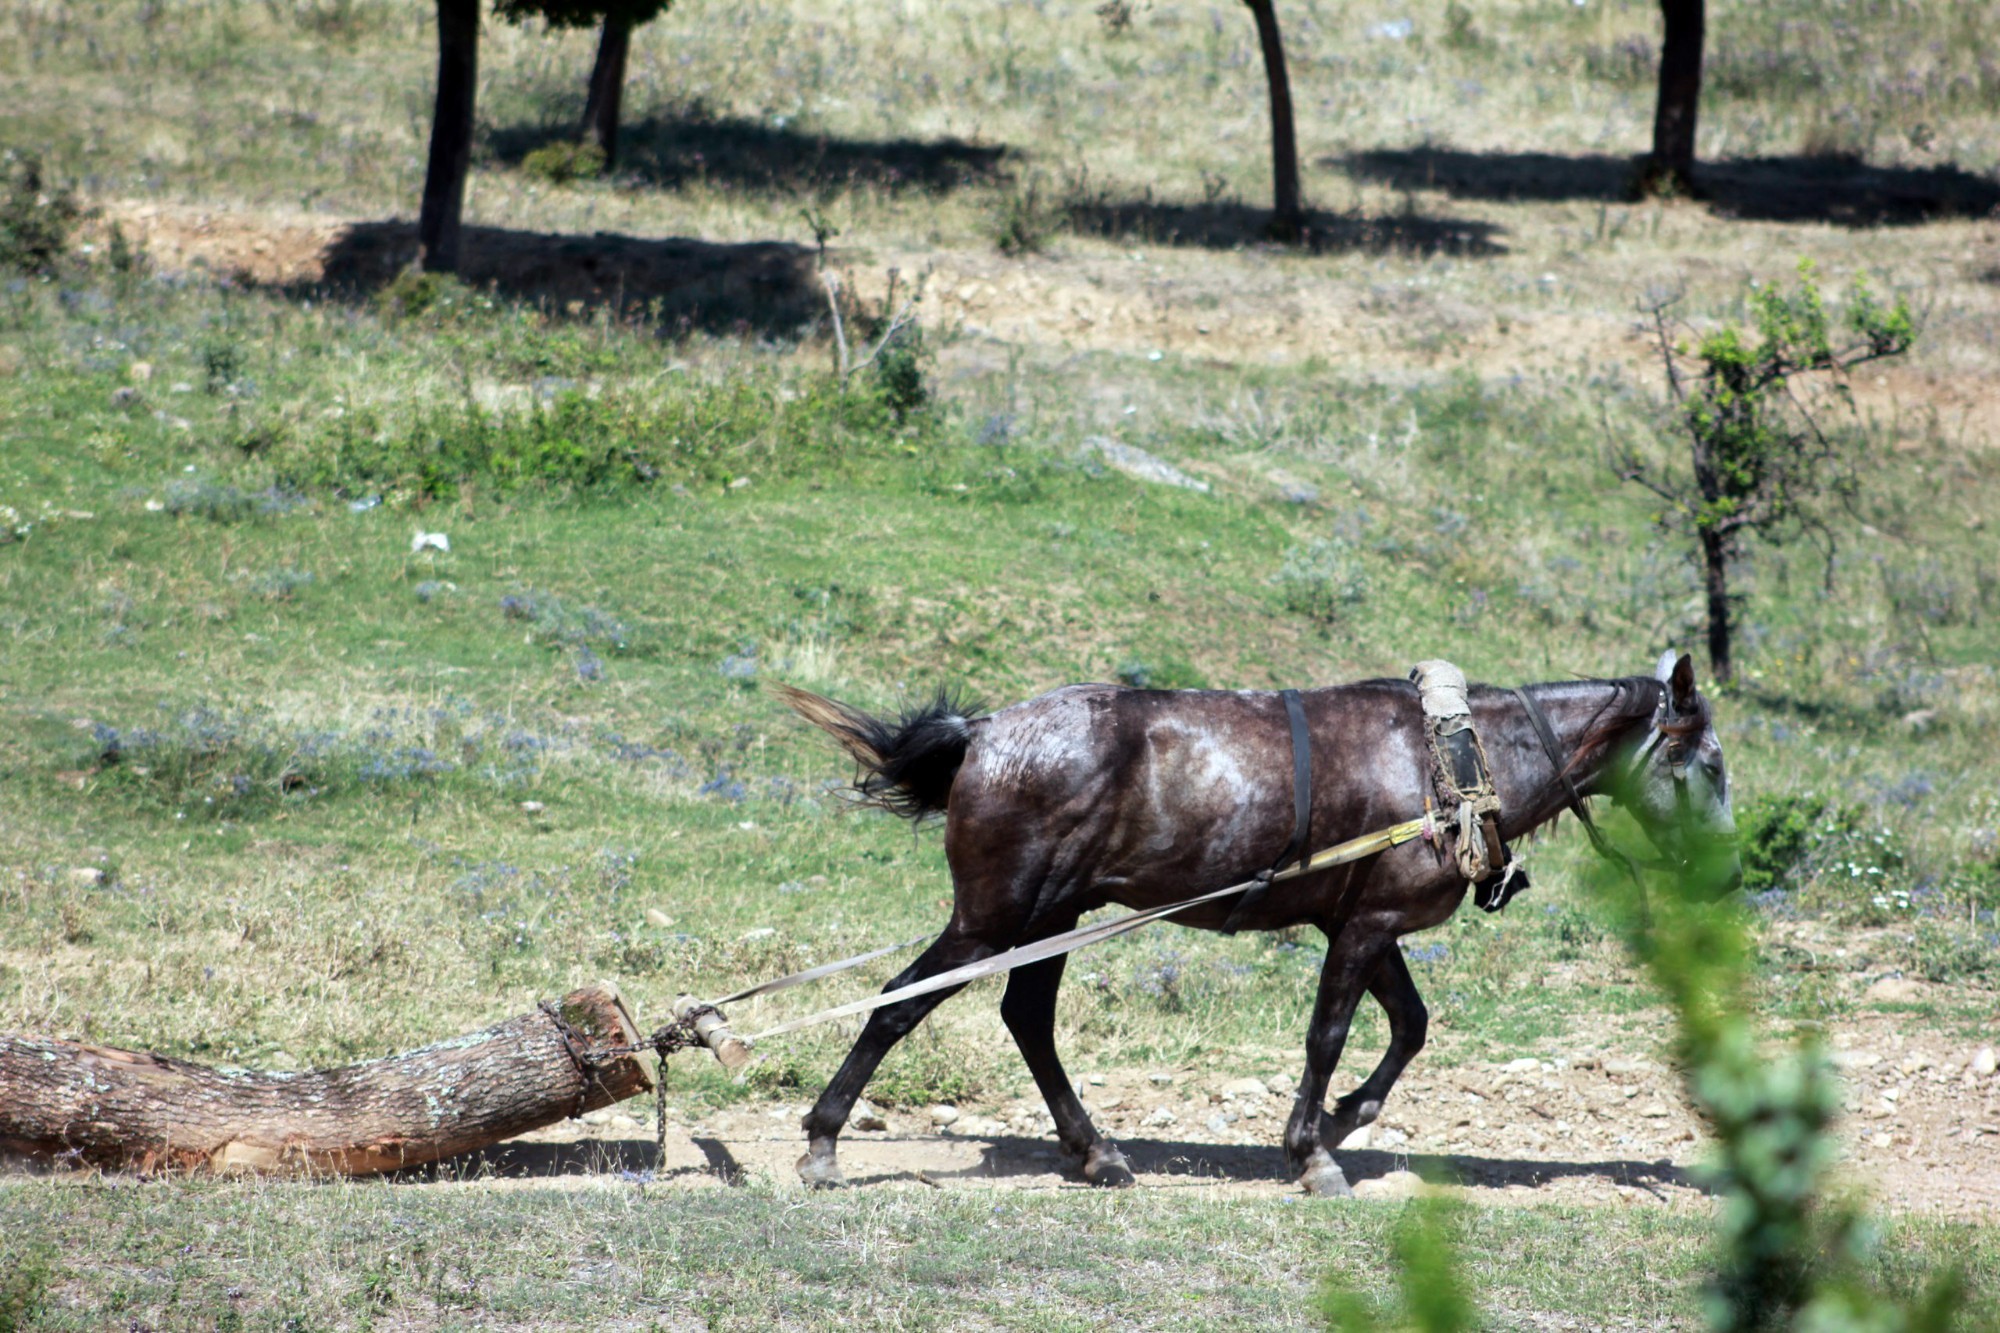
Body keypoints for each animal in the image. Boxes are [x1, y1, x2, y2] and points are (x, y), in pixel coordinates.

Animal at [772, 648, 1744, 1184]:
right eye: (1707, 764)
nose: (1731, 874)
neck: (1450, 758)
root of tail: (983, 733)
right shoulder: (1366, 925)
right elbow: (1329, 1033)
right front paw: (1312, 1151)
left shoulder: (1365, 921)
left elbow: (1410, 1026)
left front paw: (1346, 1119)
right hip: (996, 914)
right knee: (902, 1002)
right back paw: (823, 1140)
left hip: (1055, 914)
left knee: (1027, 1017)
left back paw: (1096, 1151)